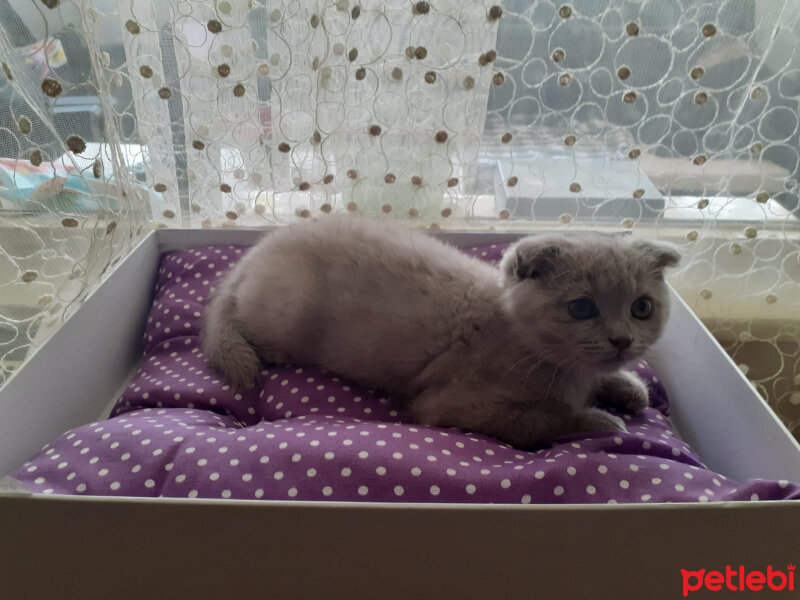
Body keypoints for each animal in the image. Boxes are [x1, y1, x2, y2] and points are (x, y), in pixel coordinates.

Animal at [202, 216, 680, 446]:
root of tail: (256, 251)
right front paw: (599, 419)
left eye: (642, 308)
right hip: (284, 313)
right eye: (581, 308)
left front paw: (628, 388)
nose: (622, 339)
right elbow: (538, 419)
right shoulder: (449, 406)